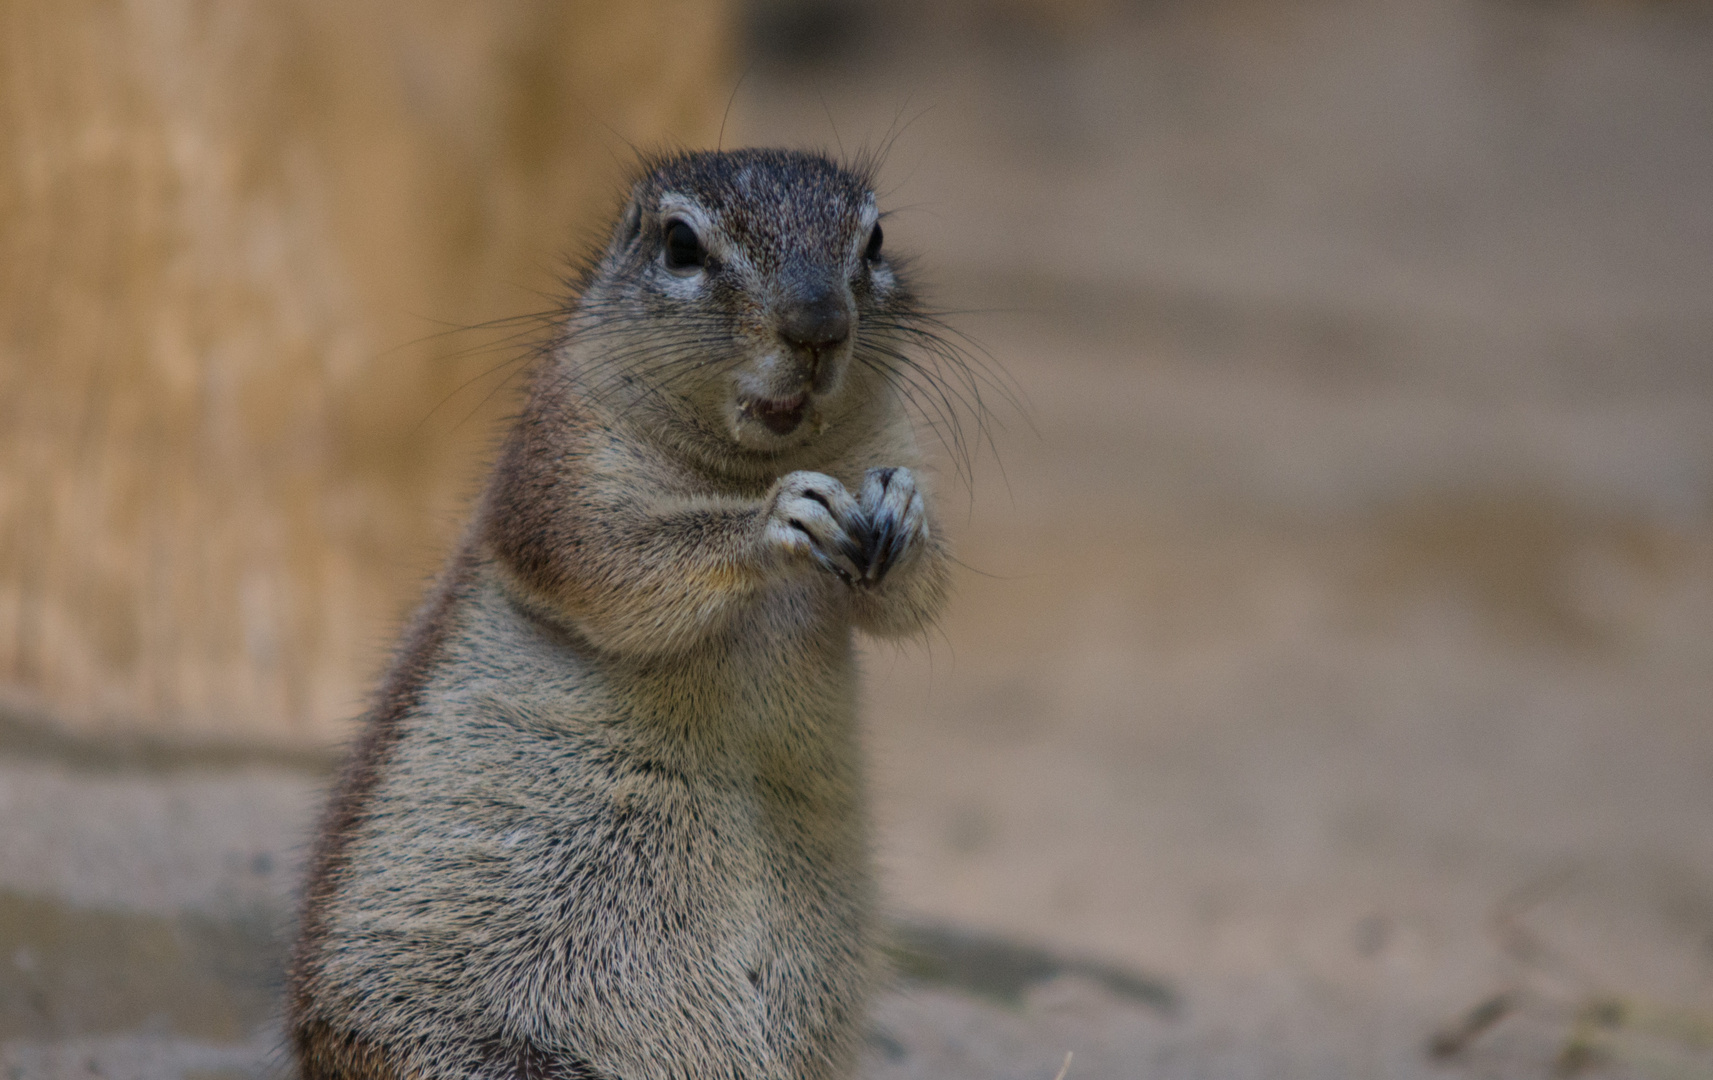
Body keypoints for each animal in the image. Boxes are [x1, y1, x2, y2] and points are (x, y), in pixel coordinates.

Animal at [287, 145, 972, 1080]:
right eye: (680, 245)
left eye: (873, 240)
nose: (818, 325)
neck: (746, 462)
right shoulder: (559, 465)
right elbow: (615, 566)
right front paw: (775, 519)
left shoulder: (893, 442)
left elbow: (915, 599)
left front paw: (904, 516)